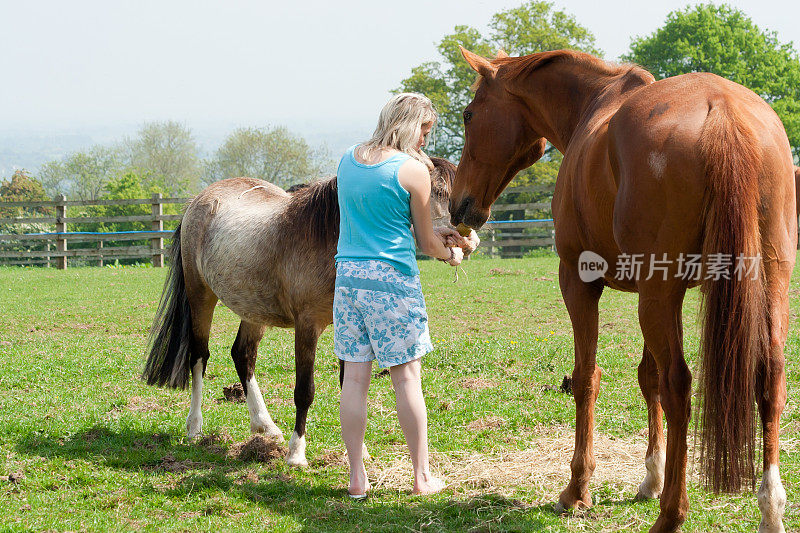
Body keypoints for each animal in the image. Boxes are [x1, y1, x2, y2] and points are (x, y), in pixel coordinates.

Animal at [143, 156, 456, 464]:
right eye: (436, 192)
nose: (457, 243)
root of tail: (197, 201)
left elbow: (349, 387)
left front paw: (358, 451)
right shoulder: (307, 327)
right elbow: (304, 391)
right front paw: (296, 453)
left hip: (253, 309)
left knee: (243, 355)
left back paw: (265, 425)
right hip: (200, 296)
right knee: (199, 357)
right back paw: (194, 427)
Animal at [450, 47, 792, 528]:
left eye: (468, 114)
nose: (458, 205)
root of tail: (723, 111)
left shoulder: (580, 282)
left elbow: (586, 378)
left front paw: (577, 489)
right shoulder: (665, 294)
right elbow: (647, 378)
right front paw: (651, 477)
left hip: (657, 296)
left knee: (679, 385)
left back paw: (671, 514)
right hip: (761, 283)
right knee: (769, 379)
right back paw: (770, 509)